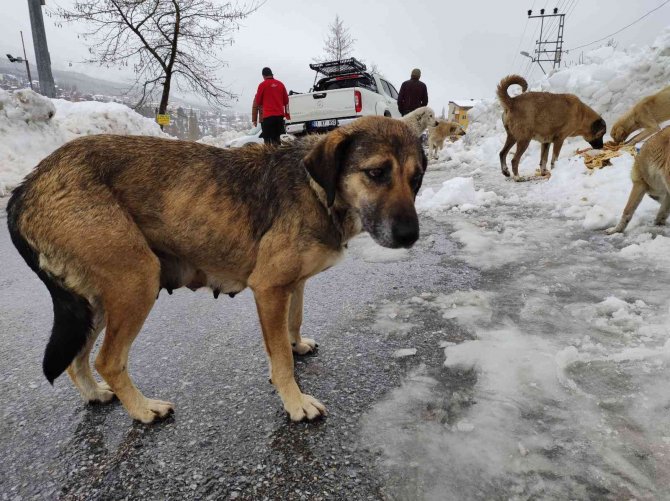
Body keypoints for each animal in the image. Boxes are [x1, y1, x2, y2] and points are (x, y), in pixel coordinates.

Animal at [6, 116, 430, 422]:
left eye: (416, 179)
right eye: (376, 173)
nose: (410, 236)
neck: (316, 190)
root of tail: (27, 186)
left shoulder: (292, 286)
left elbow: (293, 323)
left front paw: (297, 344)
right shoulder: (269, 288)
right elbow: (281, 357)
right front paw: (295, 402)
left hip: (94, 300)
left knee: (76, 360)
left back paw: (95, 394)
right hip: (137, 281)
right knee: (106, 360)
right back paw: (143, 411)